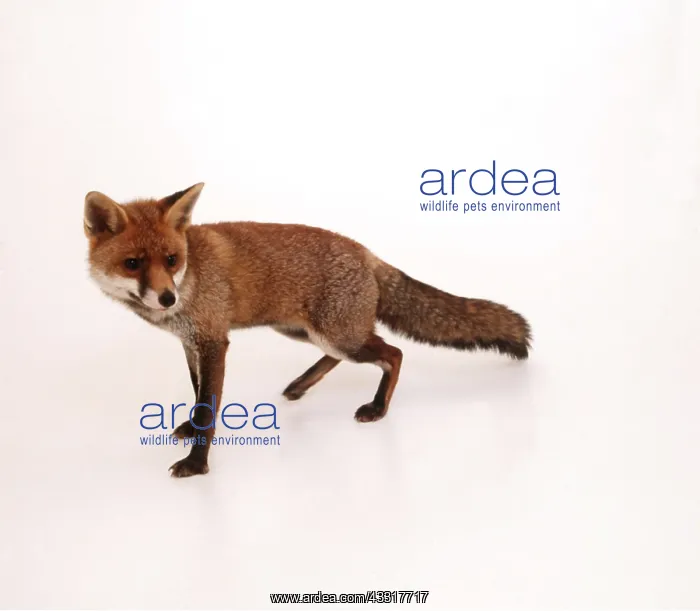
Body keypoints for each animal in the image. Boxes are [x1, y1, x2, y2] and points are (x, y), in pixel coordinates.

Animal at [84, 183, 531, 477]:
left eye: (171, 259)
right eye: (133, 264)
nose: (166, 298)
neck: (191, 280)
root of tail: (366, 252)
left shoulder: (213, 341)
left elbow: (209, 407)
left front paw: (198, 463)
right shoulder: (191, 344)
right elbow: (197, 397)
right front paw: (190, 428)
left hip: (338, 334)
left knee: (394, 353)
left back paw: (378, 407)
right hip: (303, 330)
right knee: (346, 355)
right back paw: (300, 386)